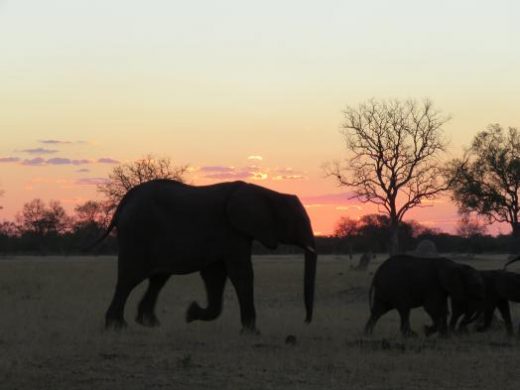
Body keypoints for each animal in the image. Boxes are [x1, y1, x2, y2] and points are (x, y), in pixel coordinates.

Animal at [90, 179, 316, 332]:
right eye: (297, 222)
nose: (305, 321)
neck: (266, 192)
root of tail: (124, 202)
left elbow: (215, 275)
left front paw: (191, 313)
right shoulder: (232, 231)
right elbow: (241, 274)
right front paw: (252, 332)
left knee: (158, 279)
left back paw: (149, 324)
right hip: (138, 234)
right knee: (129, 279)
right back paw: (117, 326)